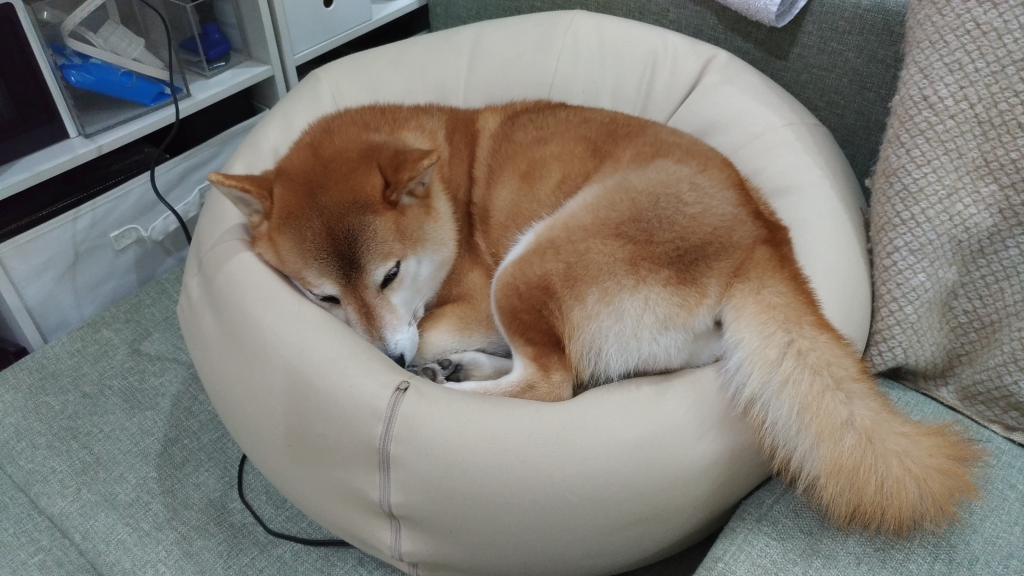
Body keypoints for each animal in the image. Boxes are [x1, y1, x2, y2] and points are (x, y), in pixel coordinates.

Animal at [208, 101, 981, 535]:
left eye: (390, 275)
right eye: (325, 299)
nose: (389, 364)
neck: (452, 198)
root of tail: (763, 243)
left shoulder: (474, 288)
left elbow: (432, 326)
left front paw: (425, 353)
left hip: (528, 264)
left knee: (551, 382)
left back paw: (449, 383)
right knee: (559, 372)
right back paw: (459, 369)